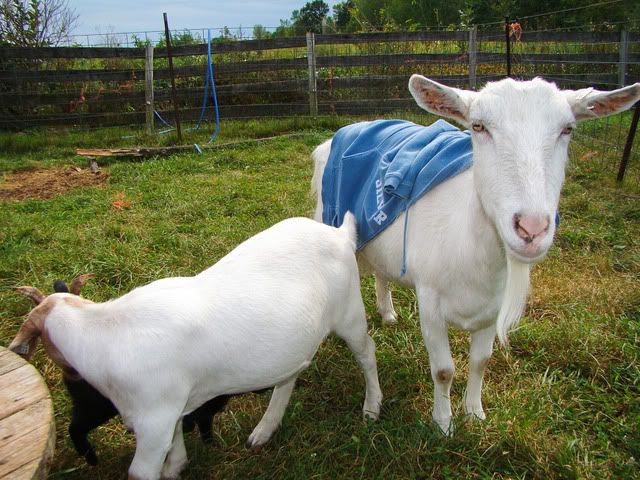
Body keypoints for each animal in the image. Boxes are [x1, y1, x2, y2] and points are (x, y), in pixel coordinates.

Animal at [8, 215, 382, 480]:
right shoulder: (169, 411)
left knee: (367, 353)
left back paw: (372, 407)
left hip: (349, 312)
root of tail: (339, 233)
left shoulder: (153, 424)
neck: (106, 333)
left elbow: (140, 471)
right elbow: (176, 446)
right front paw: (177, 467)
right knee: (289, 378)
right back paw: (264, 429)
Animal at [311, 76, 640, 433]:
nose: (532, 228)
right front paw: (443, 424)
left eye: (567, 129)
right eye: (478, 126)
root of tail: (351, 128)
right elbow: (443, 370)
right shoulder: (430, 303)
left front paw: (474, 413)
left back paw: (388, 314)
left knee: (383, 276)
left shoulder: (491, 308)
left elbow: (481, 362)